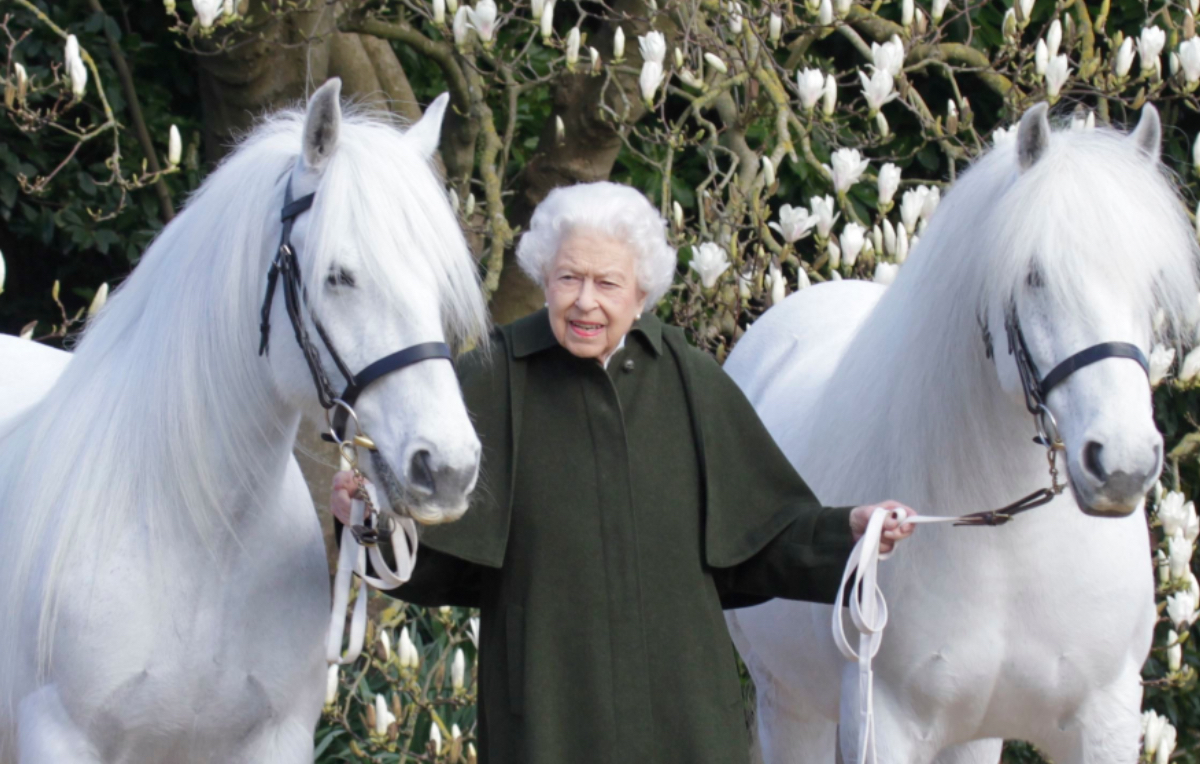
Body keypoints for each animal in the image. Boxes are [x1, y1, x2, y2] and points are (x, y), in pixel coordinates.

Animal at [1, 80, 487, 758]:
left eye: (440, 283)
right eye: (338, 276)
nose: (448, 469)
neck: (198, 540)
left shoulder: (274, 741)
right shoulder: (59, 737)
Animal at [720, 104, 1200, 762]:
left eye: (1150, 282)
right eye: (1033, 275)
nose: (1122, 465)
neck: (1009, 545)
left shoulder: (1105, 720)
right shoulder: (884, 723)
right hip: (790, 704)